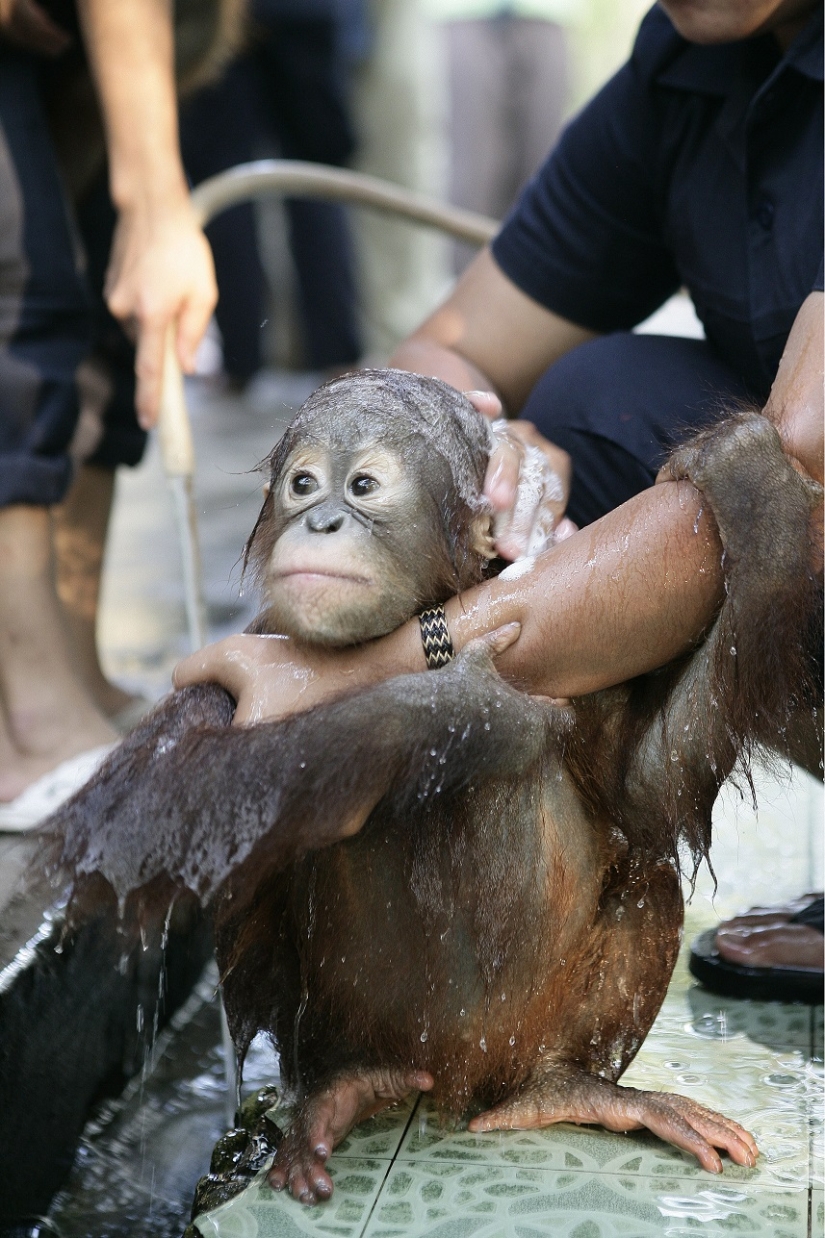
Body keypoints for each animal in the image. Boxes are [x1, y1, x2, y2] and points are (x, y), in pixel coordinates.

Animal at [38, 369, 822, 1206]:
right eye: (301, 484)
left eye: (362, 486)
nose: (318, 520)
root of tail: (450, 1081)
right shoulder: (245, 649)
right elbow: (147, 810)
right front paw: (467, 705)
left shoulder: (590, 668)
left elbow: (644, 788)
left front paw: (749, 478)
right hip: (357, 1023)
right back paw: (335, 1090)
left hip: (523, 1042)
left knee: (644, 879)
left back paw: (575, 1090)